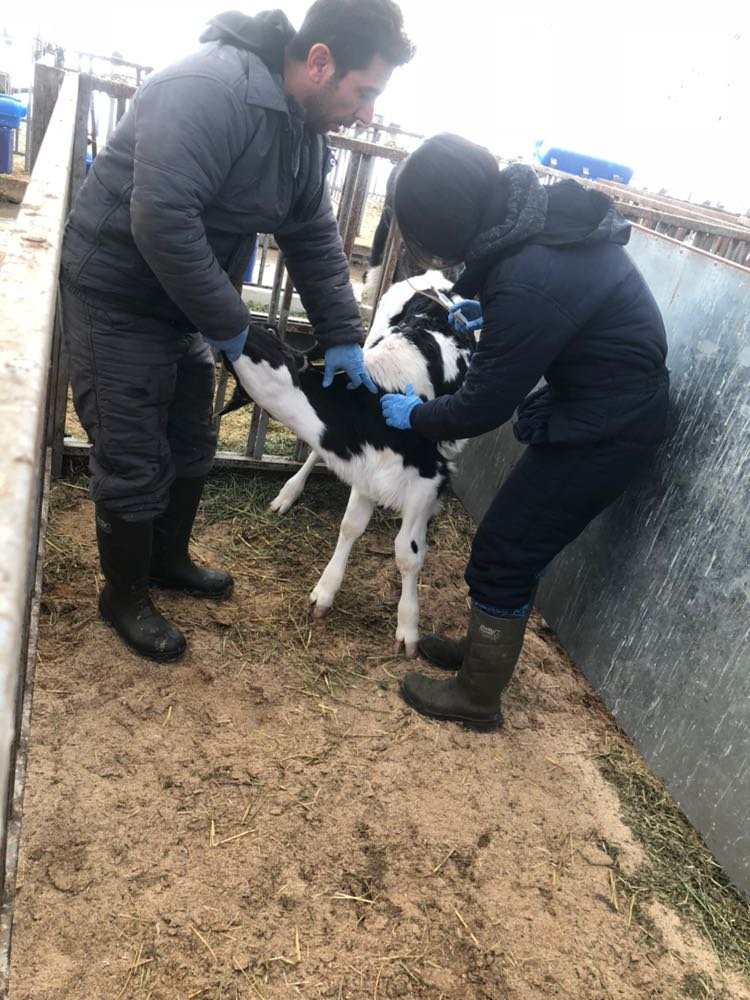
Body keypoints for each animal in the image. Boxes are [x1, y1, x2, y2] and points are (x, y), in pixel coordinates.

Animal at [221, 271, 476, 655]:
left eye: (268, 339)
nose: (234, 322)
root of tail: (435, 278)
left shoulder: (426, 478)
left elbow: (407, 552)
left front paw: (408, 627)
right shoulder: (366, 468)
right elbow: (351, 526)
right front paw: (324, 592)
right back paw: (288, 493)